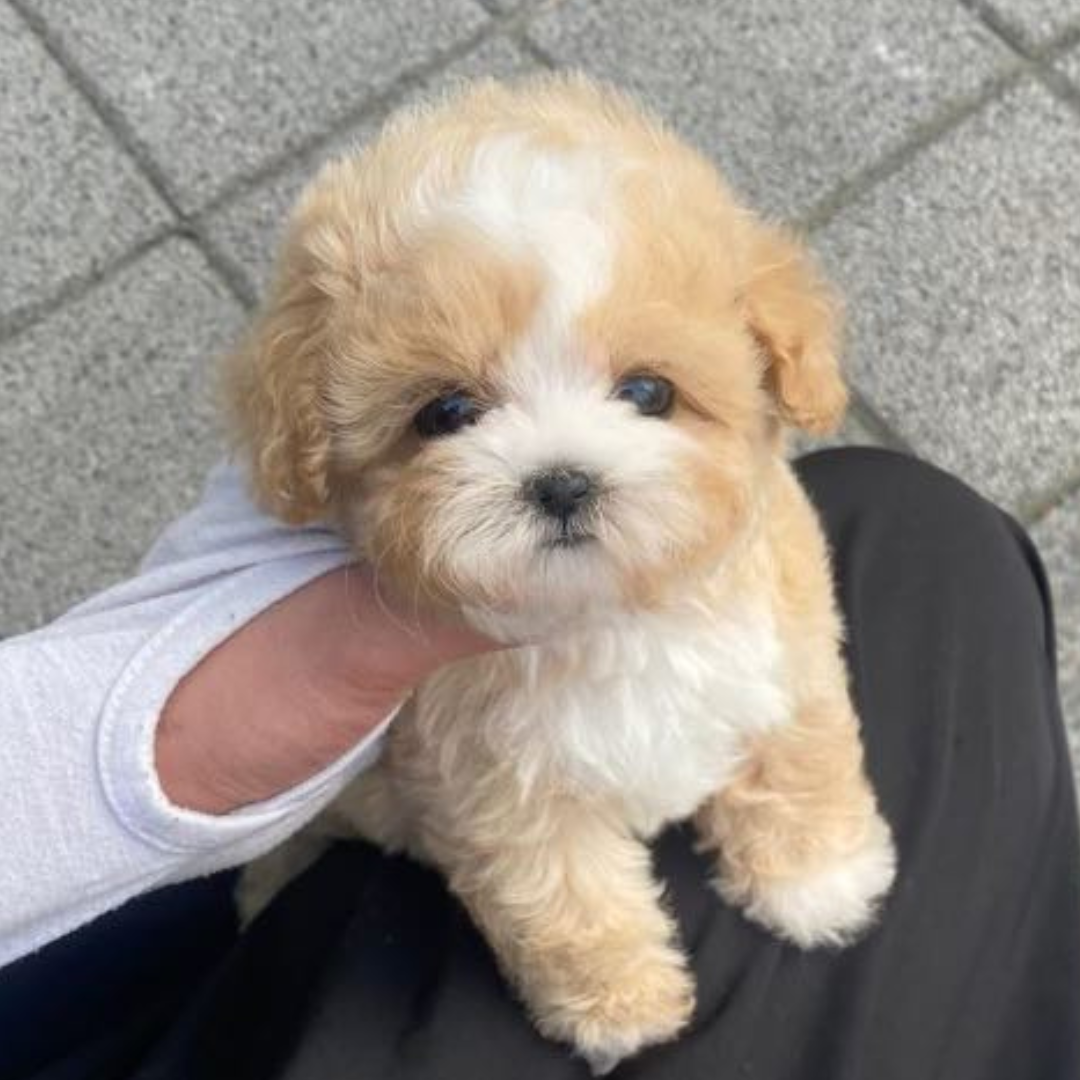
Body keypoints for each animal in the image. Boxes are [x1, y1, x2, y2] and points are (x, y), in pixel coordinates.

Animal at [232, 76, 898, 1071]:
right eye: (446, 412)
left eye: (651, 392)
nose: (561, 481)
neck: (610, 616)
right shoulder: (490, 788)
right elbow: (564, 897)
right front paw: (620, 1009)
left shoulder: (787, 649)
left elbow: (801, 752)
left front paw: (821, 879)